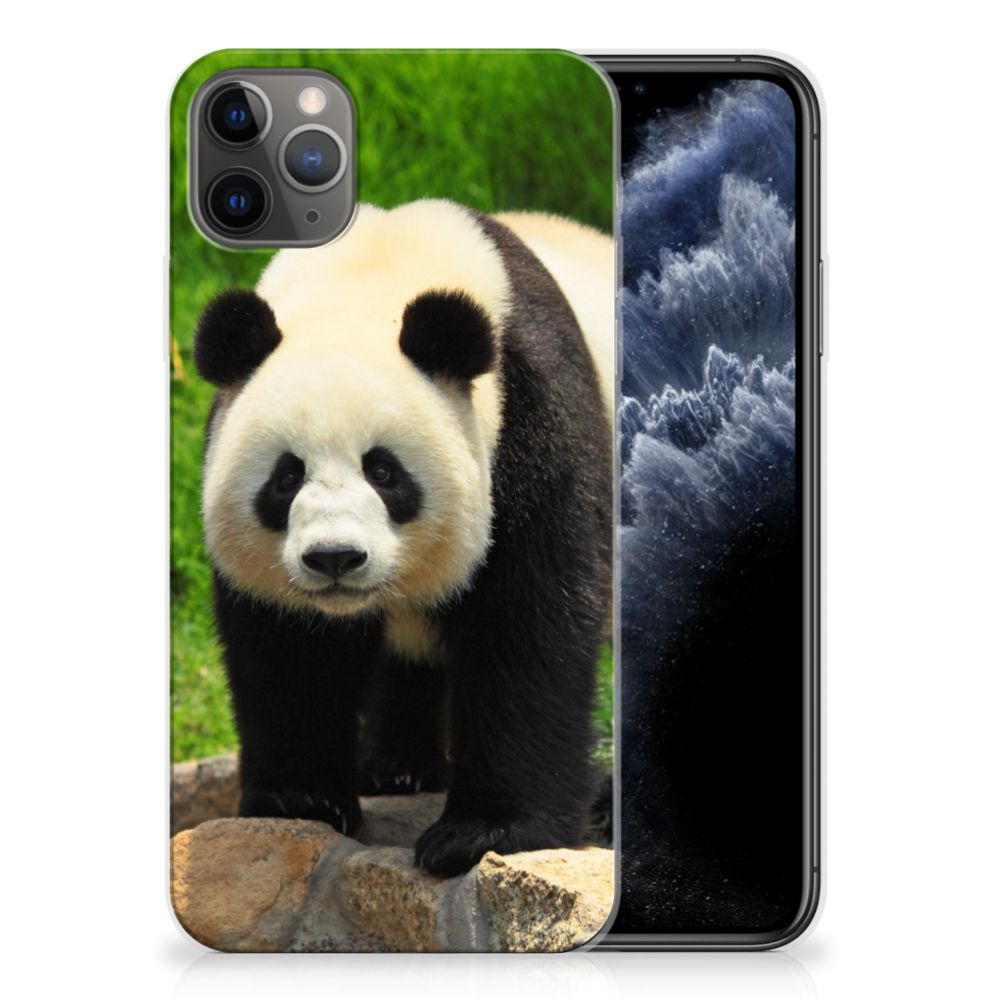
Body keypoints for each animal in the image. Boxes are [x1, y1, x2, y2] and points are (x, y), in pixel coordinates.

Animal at [193, 199, 613, 877]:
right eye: (287, 476)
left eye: (384, 471)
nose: (335, 558)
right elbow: (289, 647)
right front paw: (301, 798)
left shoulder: (533, 419)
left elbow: (530, 623)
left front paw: (483, 832)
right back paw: (396, 769)